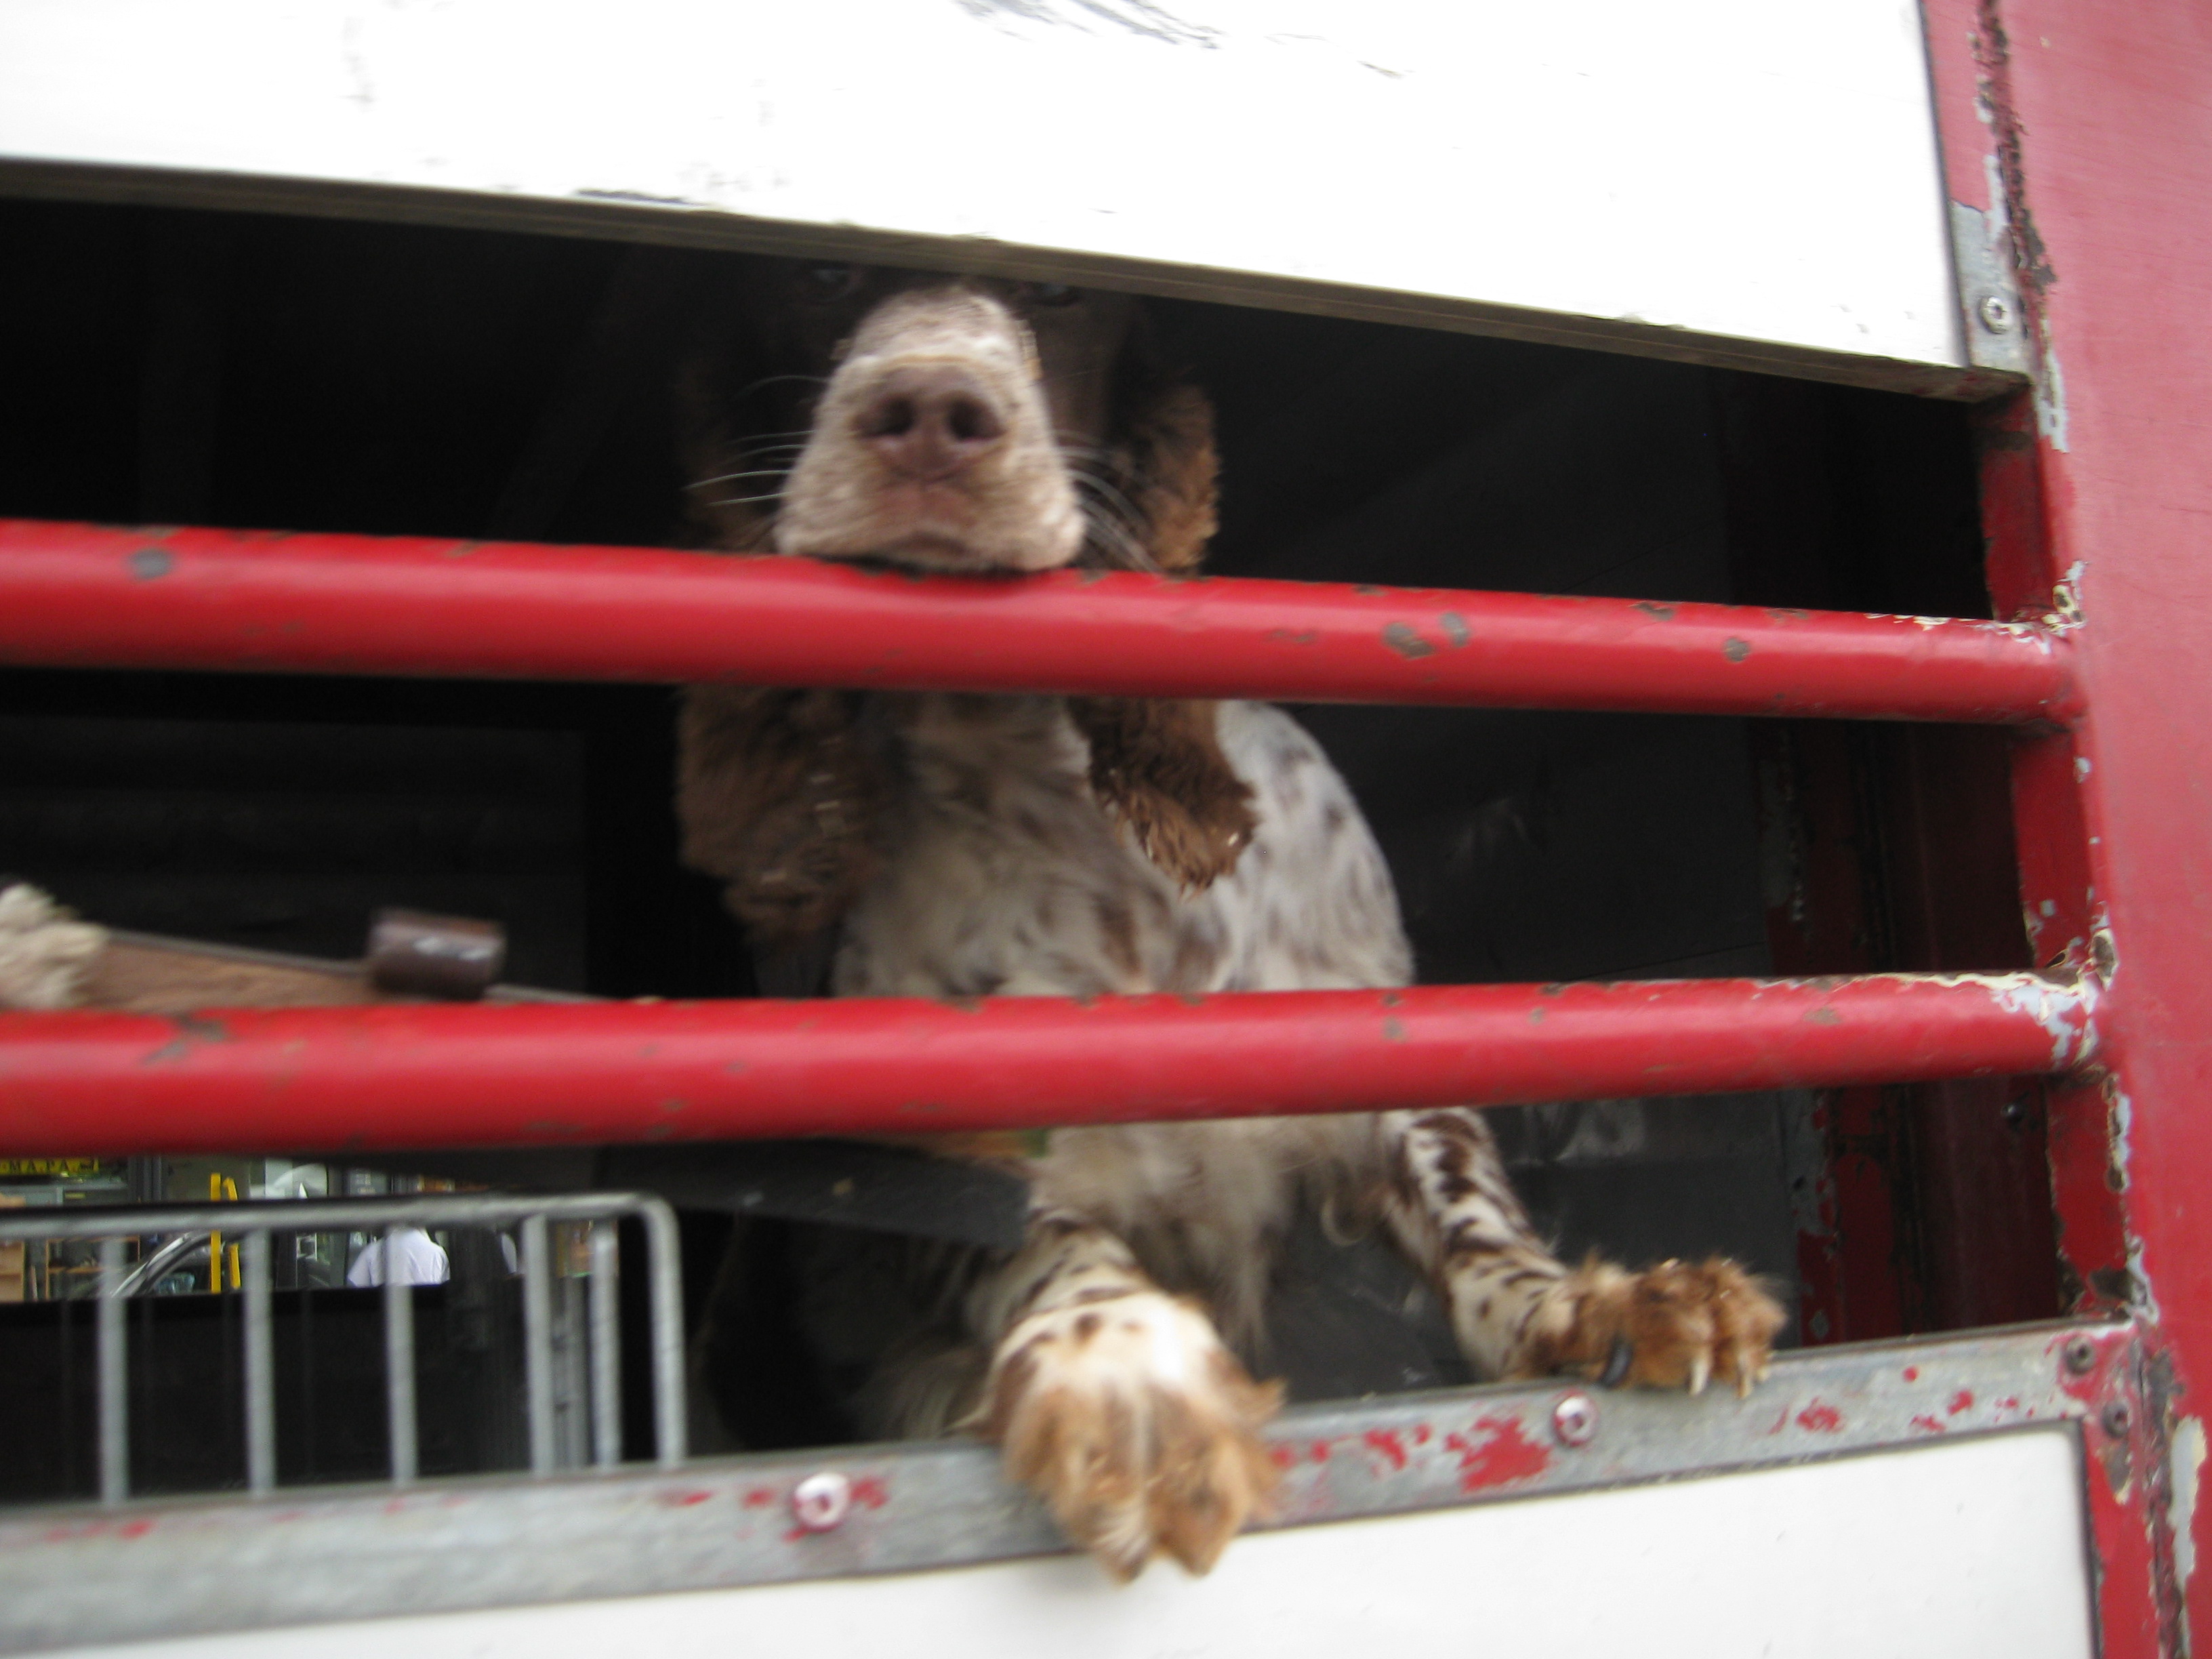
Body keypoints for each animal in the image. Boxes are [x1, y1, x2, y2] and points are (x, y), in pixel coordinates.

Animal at [674, 261, 1787, 1579]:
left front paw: (1590, 1303)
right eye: (813, 275)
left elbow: (1469, 1201)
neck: (1058, 795)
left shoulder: (1371, 1038)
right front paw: (1126, 1372)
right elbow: (1034, 1231)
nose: (933, 414)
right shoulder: (931, 1134)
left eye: (1065, 295)